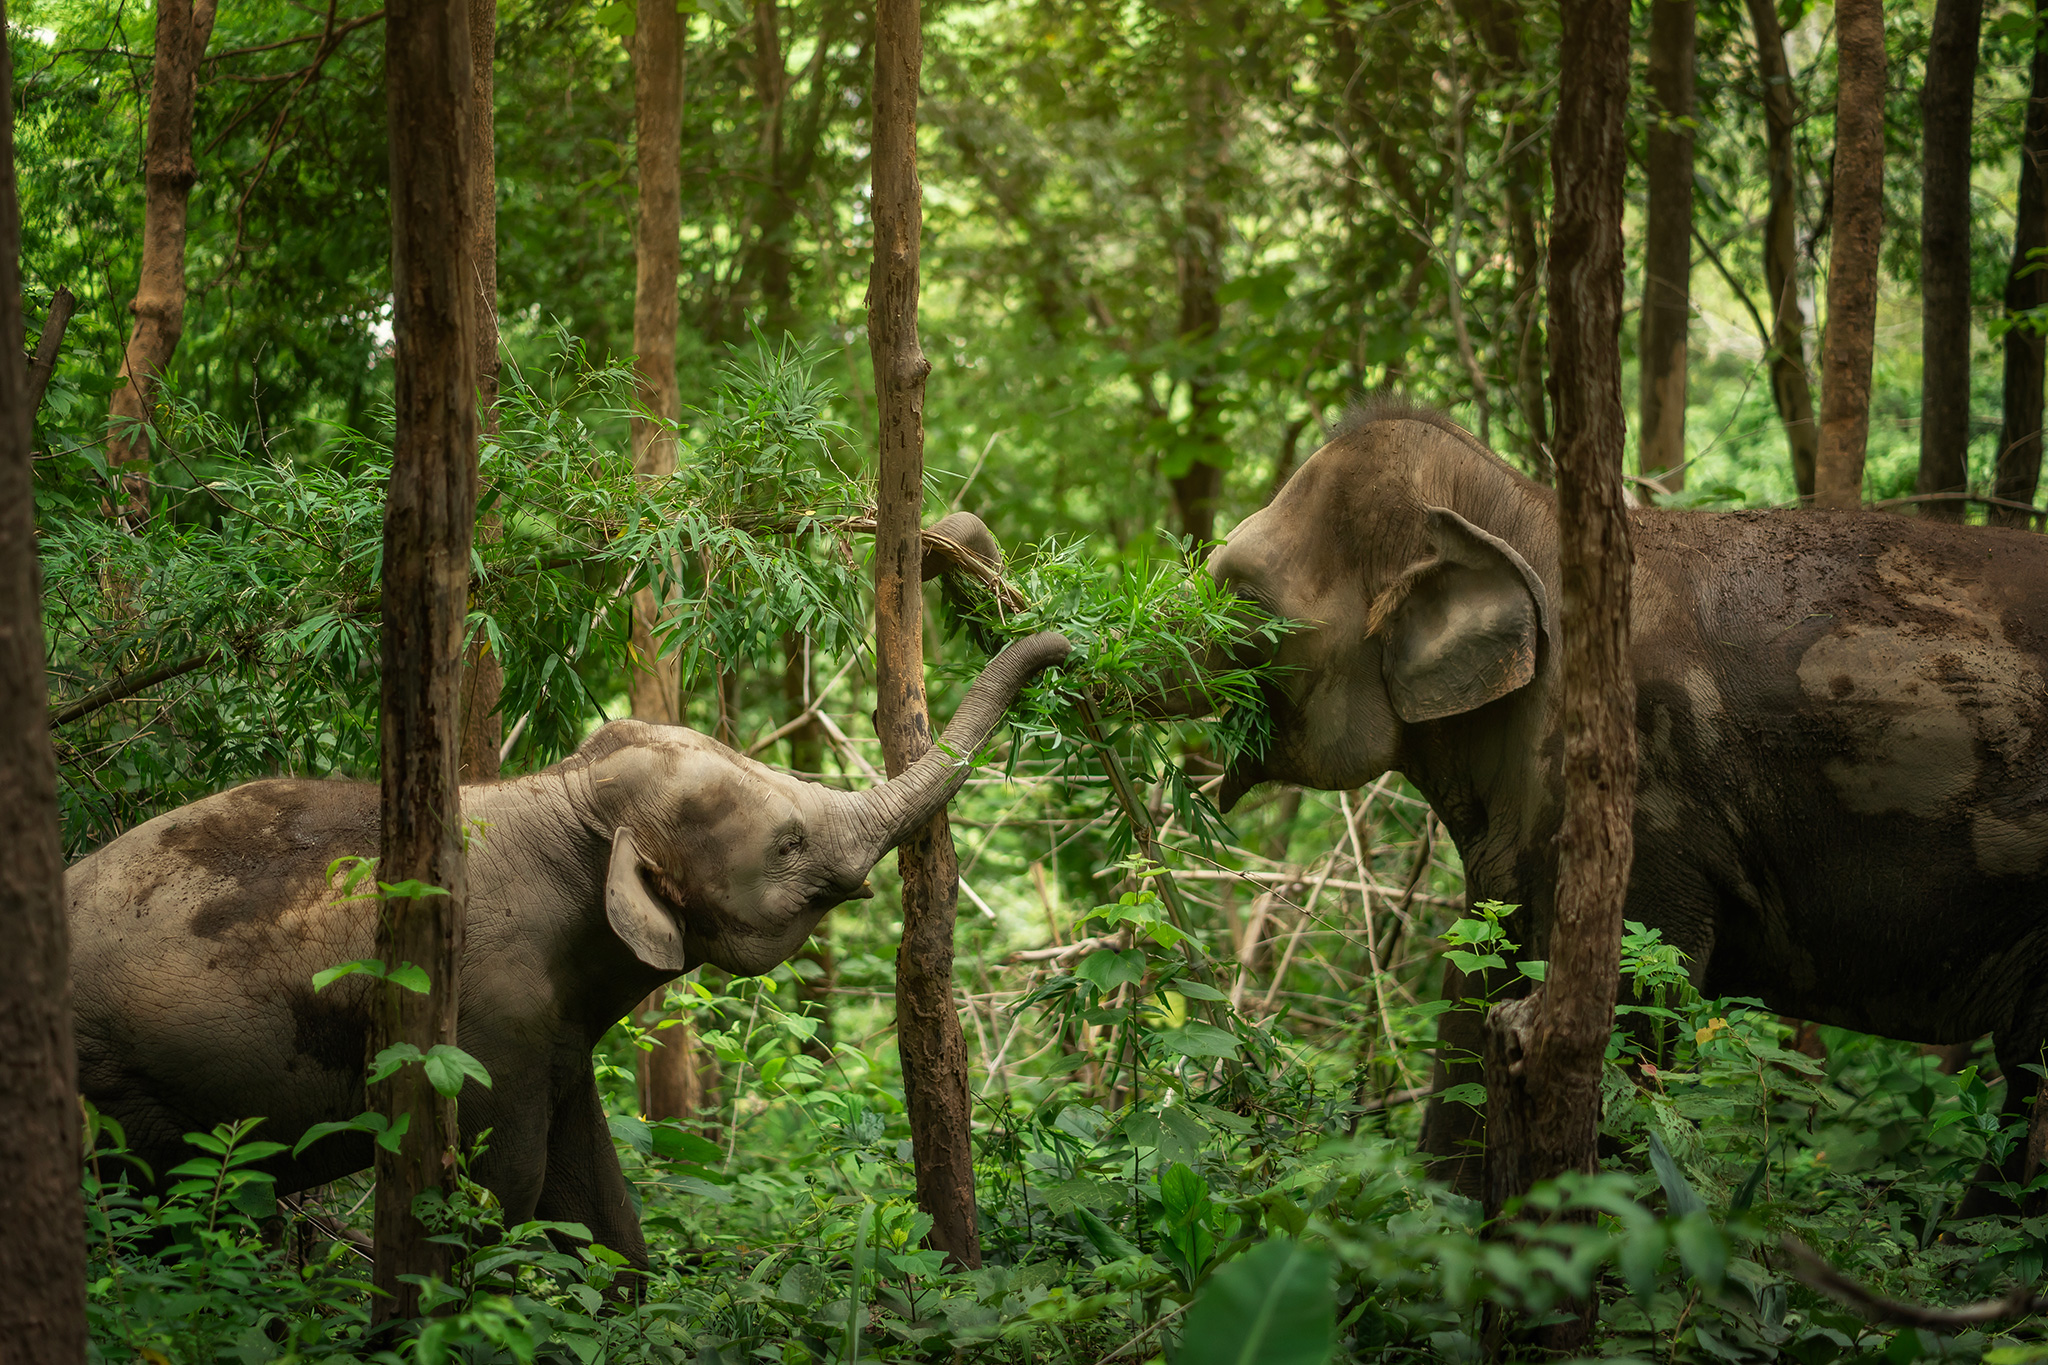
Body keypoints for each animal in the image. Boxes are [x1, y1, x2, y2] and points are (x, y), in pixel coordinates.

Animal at [67, 629, 1071, 1269]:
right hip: (120, 1086)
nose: (1065, 645)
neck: (563, 795)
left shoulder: (554, 1036)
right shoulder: (485, 1020)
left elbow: (597, 1200)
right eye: (788, 843)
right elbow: (501, 1190)